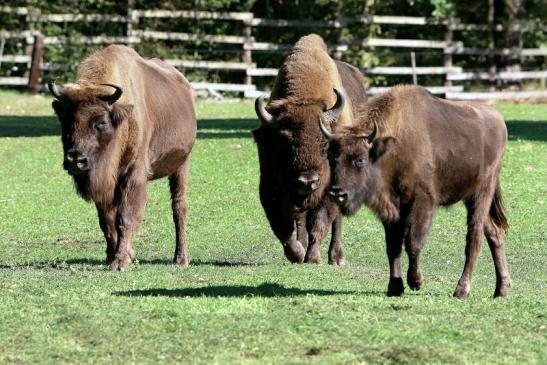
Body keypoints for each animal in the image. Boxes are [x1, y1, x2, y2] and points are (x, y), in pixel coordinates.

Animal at [48, 44, 196, 268]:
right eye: (66, 120)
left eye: (101, 122)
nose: (75, 161)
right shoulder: (106, 184)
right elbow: (107, 220)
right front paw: (112, 256)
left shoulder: (133, 174)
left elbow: (125, 216)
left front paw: (120, 261)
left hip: (181, 164)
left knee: (179, 207)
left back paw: (180, 259)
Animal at [254, 34, 368, 264]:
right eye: (284, 143)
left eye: (325, 144)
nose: (308, 181)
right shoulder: (271, 184)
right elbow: (282, 225)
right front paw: (297, 253)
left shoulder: (329, 188)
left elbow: (319, 221)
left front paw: (313, 258)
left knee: (336, 220)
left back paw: (337, 257)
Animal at [324, 85, 512, 298]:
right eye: (331, 158)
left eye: (359, 159)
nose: (338, 194)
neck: (392, 147)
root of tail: (499, 121)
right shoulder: (392, 210)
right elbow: (393, 246)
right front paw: (395, 287)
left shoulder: (422, 202)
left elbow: (413, 242)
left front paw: (416, 281)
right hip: (470, 196)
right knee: (494, 232)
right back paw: (501, 289)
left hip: (482, 193)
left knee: (475, 237)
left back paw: (462, 290)